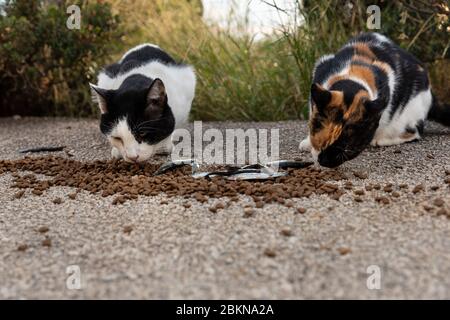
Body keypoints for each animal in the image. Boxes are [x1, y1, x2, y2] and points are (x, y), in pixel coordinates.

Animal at [298, 32, 450, 168]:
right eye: (320, 141)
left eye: (348, 148)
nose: (324, 161)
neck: (351, 76)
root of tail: (430, 92)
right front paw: (308, 142)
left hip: (411, 113)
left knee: (415, 132)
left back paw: (381, 139)